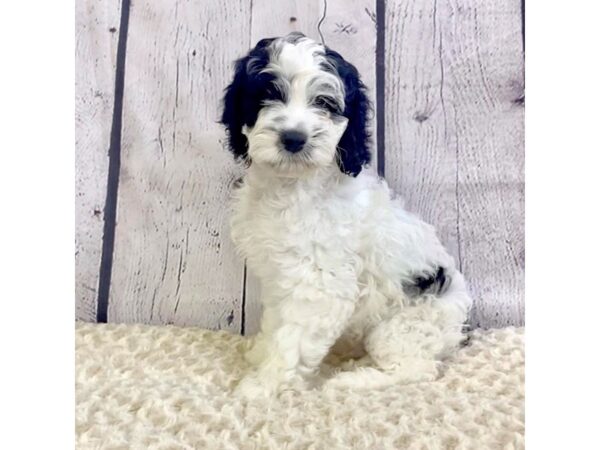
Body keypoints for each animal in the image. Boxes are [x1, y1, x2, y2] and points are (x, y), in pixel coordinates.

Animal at [220, 31, 474, 398]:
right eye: (268, 95)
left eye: (325, 104)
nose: (293, 138)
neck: (293, 185)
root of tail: (458, 332)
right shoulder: (279, 277)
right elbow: (276, 323)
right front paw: (260, 352)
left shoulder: (318, 285)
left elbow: (292, 339)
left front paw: (264, 386)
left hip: (402, 327)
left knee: (416, 368)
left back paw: (353, 379)